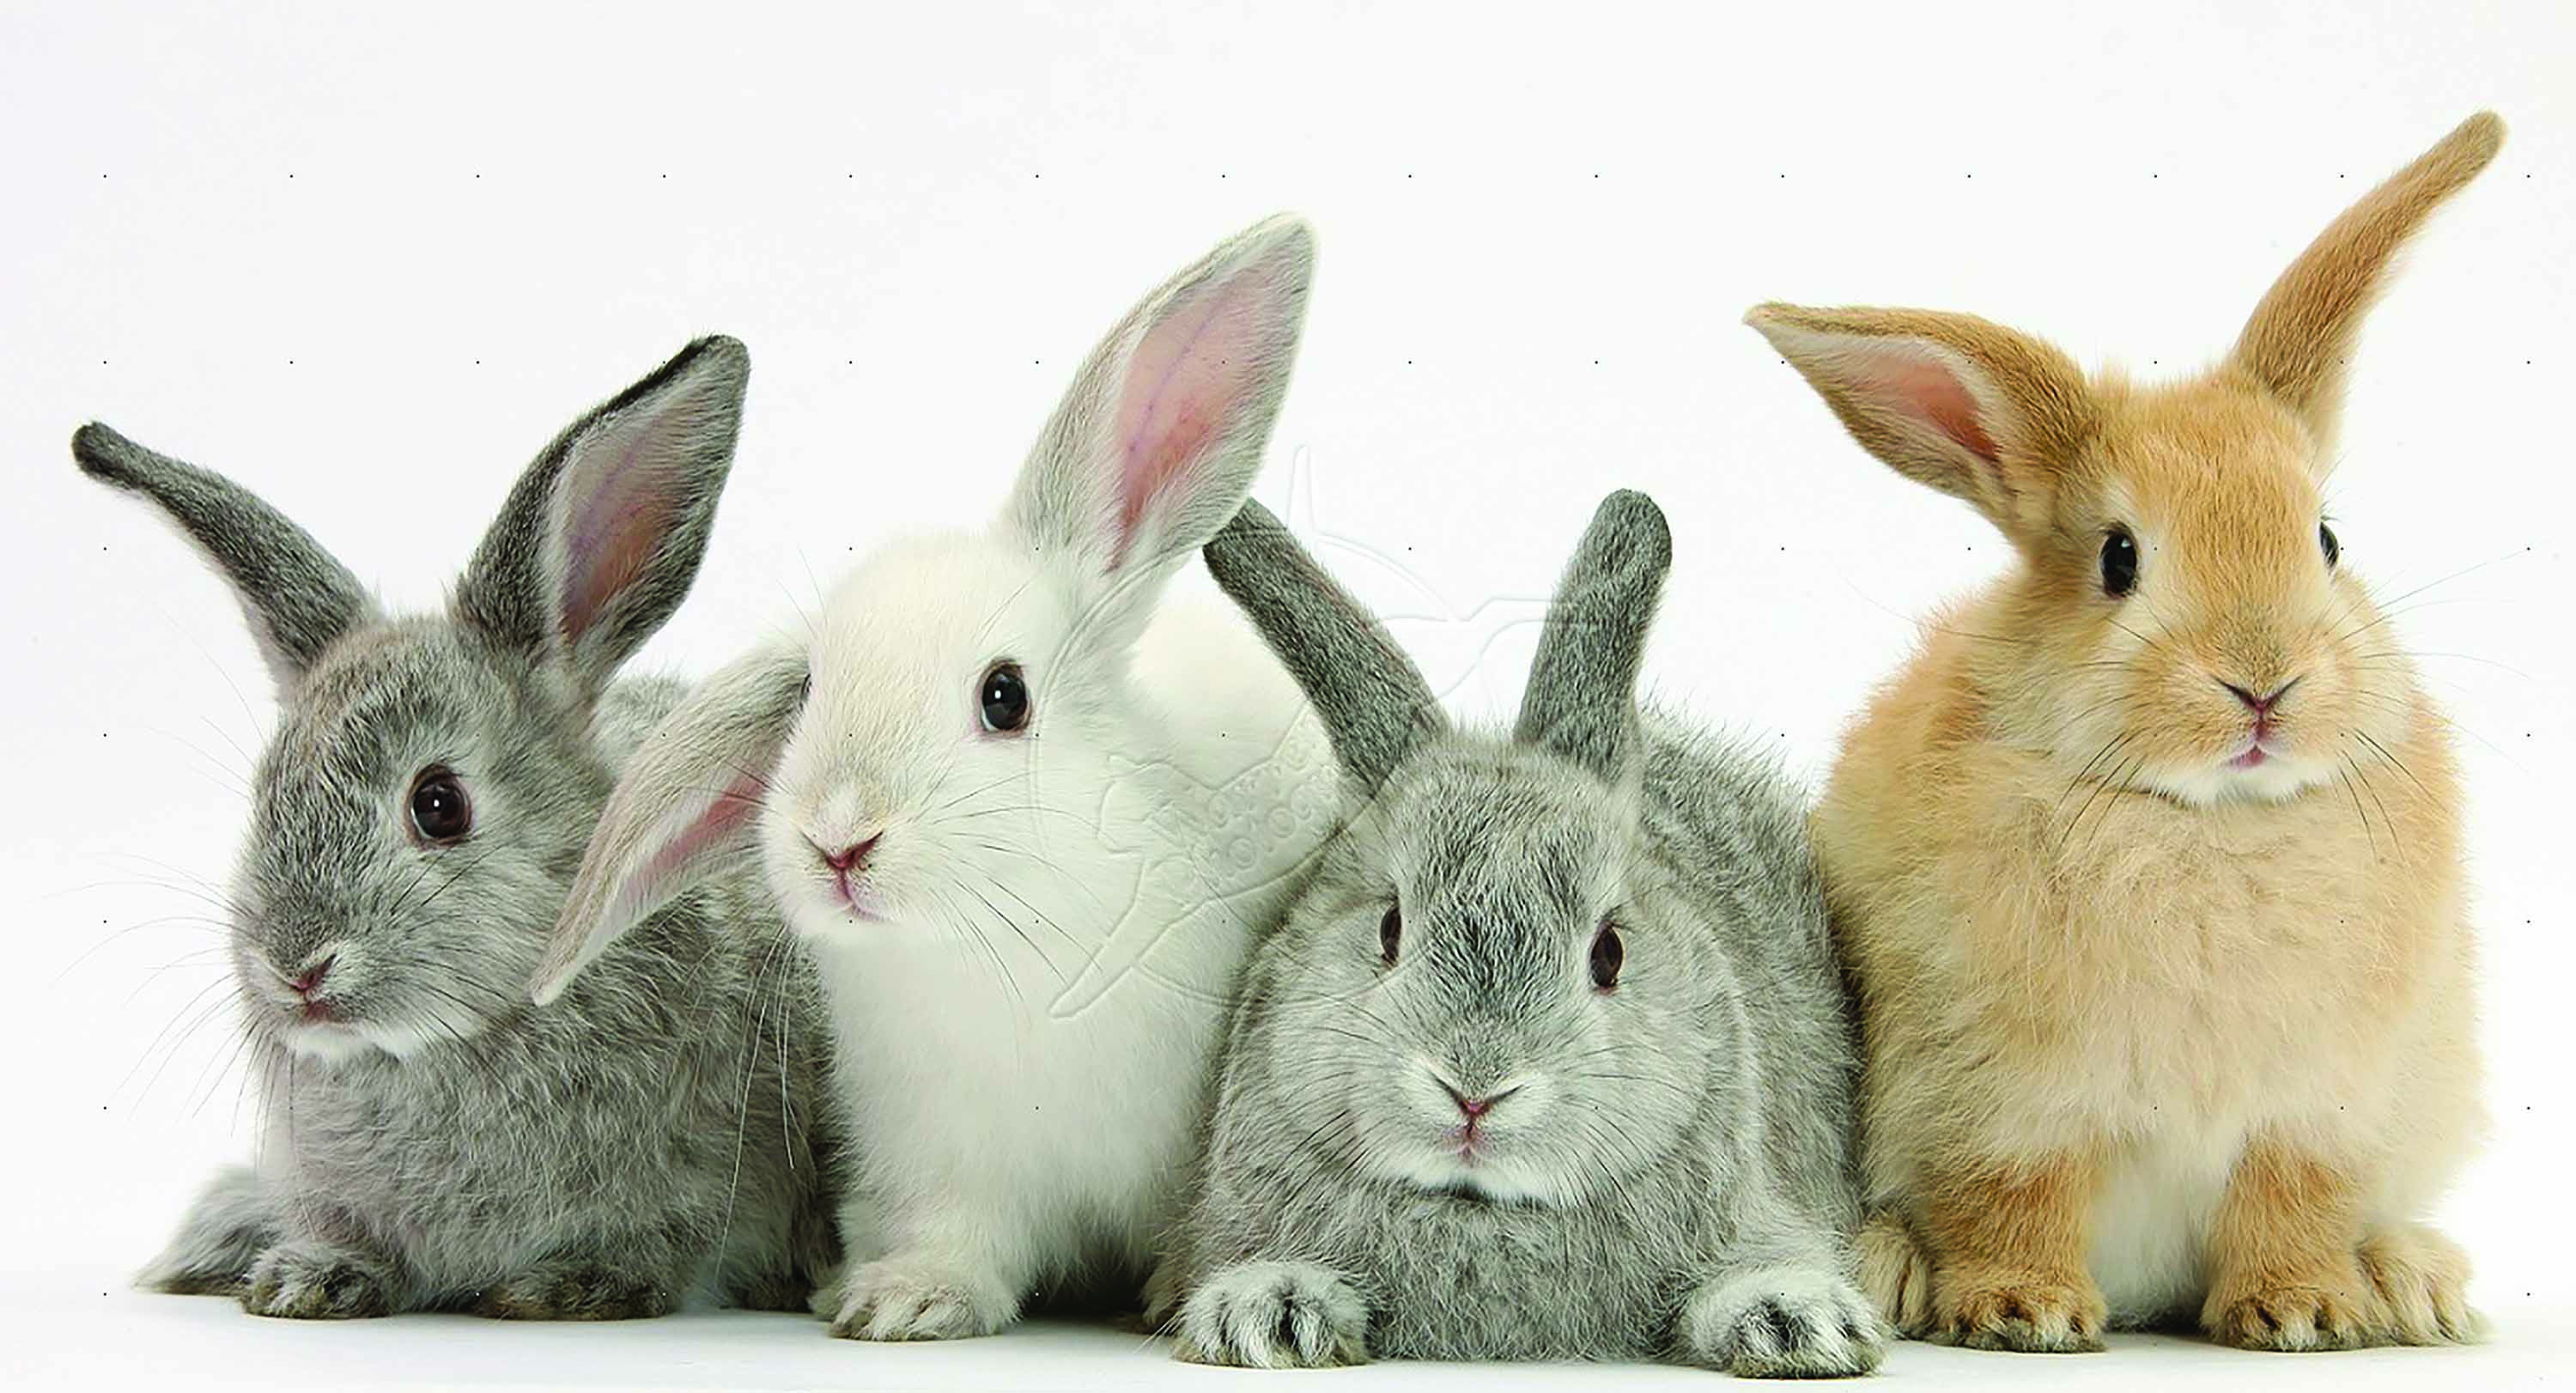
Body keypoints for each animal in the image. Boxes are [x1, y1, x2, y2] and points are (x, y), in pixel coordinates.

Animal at [529, 215, 1340, 1342]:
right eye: (810, 689)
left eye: (1006, 696)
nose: (839, 838)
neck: (1004, 950)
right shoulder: (936, 1157)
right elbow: (954, 1236)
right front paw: (903, 1300)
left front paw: (1184, 1294)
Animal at [1743, 112, 2503, 1352]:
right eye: (2119, 557)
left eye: (2327, 539)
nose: (2264, 684)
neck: (2206, 822)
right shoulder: (2001, 1096)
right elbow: (2015, 1194)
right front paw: (2025, 1310)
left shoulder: (2320, 1107)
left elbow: (2293, 1202)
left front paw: (2305, 1311)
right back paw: (1889, 1271)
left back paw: (2412, 1281)